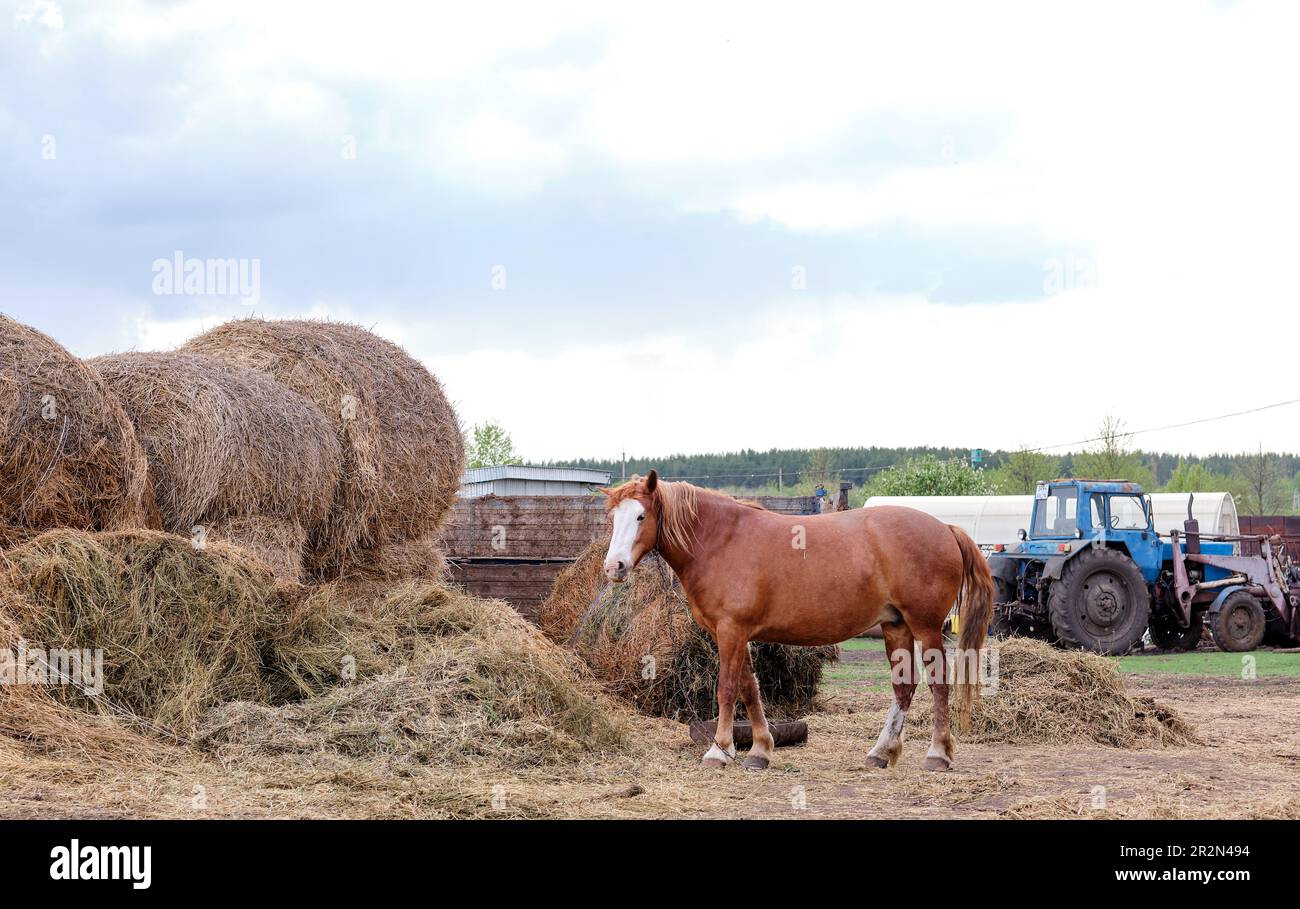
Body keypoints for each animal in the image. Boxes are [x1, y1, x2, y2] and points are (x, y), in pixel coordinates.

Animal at [599, 470, 993, 772]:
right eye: (613, 518)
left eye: (641, 517)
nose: (613, 567)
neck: (721, 540)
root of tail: (945, 528)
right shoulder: (737, 635)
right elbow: (749, 688)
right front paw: (759, 751)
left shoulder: (730, 631)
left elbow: (726, 689)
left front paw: (719, 750)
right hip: (895, 626)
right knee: (903, 687)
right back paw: (881, 752)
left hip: (925, 627)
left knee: (938, 684)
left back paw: (937, 755)